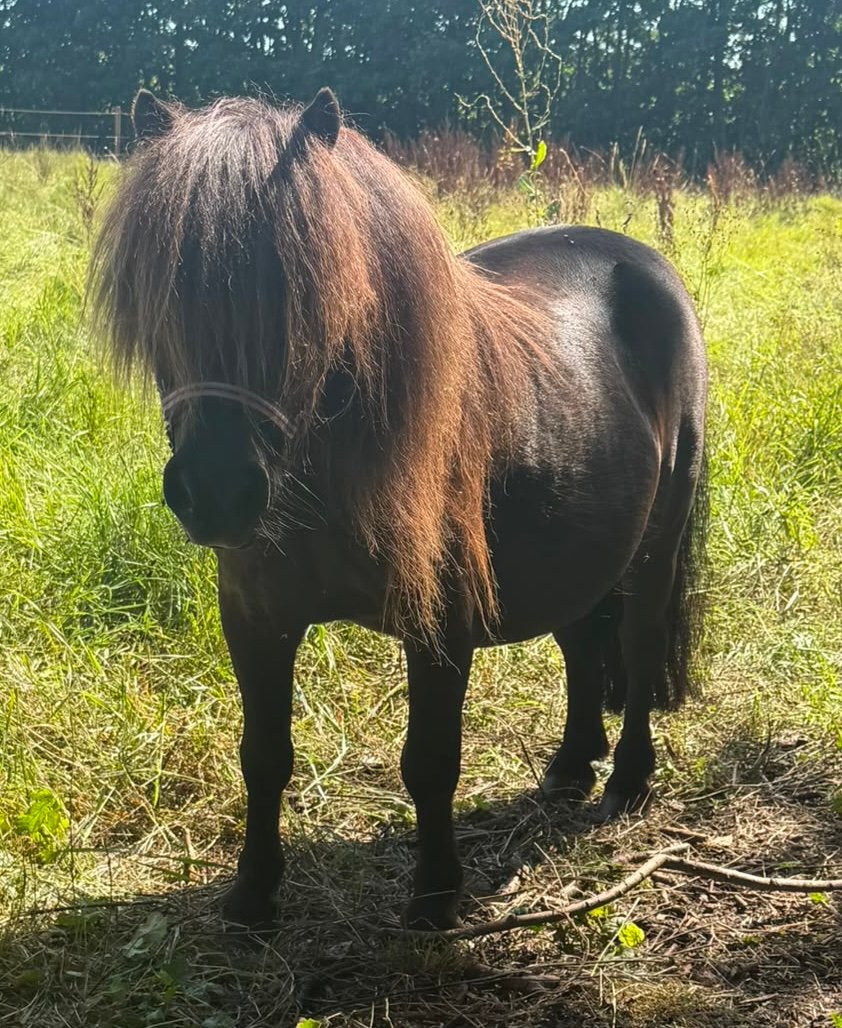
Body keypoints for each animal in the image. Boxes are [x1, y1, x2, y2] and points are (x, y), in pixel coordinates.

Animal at [91, 87, 708, 931]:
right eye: (163, 293)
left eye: (306, 290)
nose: (217, 492)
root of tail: (642, 263)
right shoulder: (254, 616)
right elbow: (263, 755)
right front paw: (252, 893)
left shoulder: (440, 623)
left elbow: (430, 761)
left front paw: (436, 895)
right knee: (582, 642)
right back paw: (570, 765)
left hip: (654, 545)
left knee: (639, 647)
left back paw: (627, 780)